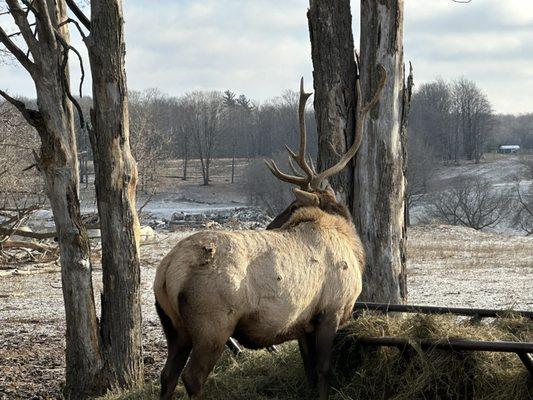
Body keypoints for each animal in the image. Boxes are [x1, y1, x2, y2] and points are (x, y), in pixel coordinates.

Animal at [152, 64, 384, 398]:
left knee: (167, 375)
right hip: (212, 325)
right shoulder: (331, 309)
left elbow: (310, 371)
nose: (270, 225)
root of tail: (168, 271)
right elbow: (324, 370)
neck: (352, 248)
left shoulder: (303, 323)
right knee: (192, 377)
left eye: (290, 204)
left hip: (173, 327)